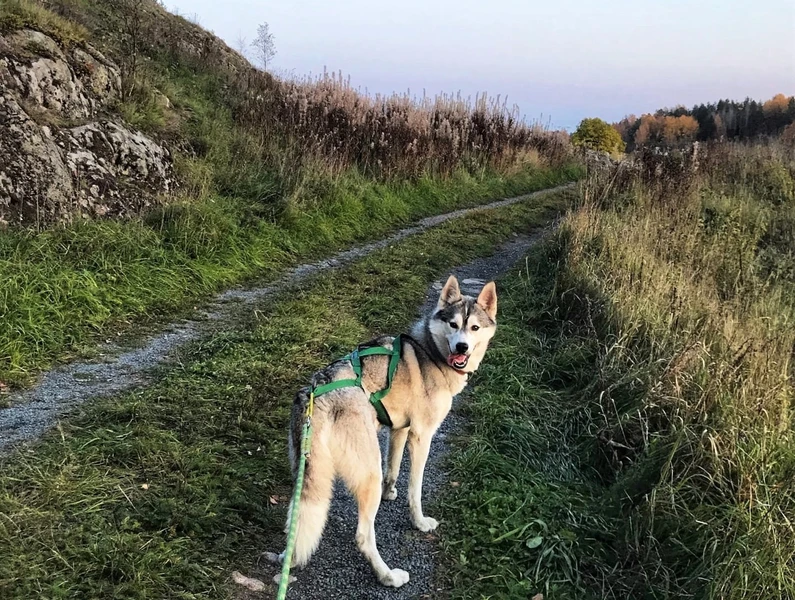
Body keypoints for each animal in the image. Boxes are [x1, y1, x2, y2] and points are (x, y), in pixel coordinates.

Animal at [269, 275, 497, 587]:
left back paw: (288, 558)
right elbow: (415, 489)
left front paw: (390, 492)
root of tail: (317, 394)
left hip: (306, 474)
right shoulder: (421, 437)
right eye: (453, 324)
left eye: (474, 327)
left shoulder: (399, 430)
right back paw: (388, 576)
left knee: (297, 520)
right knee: (363, 537)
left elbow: (394, 468)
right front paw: (419, 521)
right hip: (368, 473)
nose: (462, 347)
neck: (431, 351)